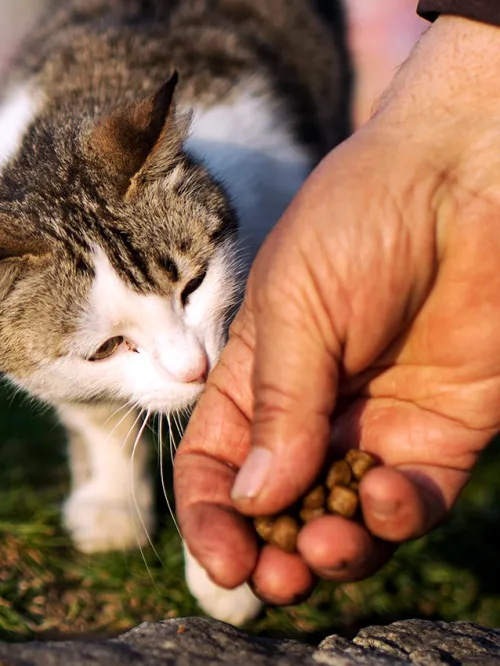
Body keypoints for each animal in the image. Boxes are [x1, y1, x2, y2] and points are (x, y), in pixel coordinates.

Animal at [0, 0, 352, 624]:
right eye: (107, 347)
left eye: (194, 285)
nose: (196, 368)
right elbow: (97, 417)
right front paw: (112, 499)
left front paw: (223, 572)